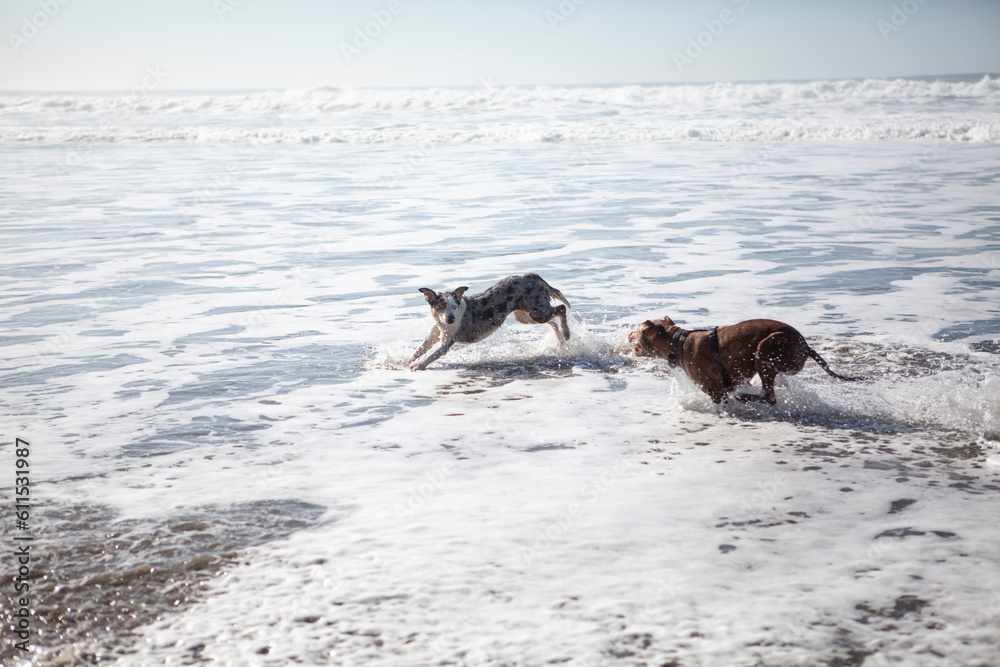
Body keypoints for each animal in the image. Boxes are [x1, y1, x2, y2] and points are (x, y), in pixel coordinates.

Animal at [410, 274, 572, 374]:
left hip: (537, 312)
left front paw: (418, 365)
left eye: (454, 306)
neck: (442, 324)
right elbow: (420, 349)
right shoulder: (433, 335)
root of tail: (530, 275)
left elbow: (431, 355)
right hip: (526, 315)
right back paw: (560, 339)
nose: (451, 319)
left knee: (561, 309)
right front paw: (408, 361)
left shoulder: (446, 343)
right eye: (440, 307)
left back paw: (566, 333)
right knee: (553, 322)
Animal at [632, 318, 868, 404]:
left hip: (765, 350)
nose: (627, 335)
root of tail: (805, 345)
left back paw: (745, 397)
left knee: (770, 397)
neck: (678, 342)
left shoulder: (716, 392)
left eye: (635, 330)